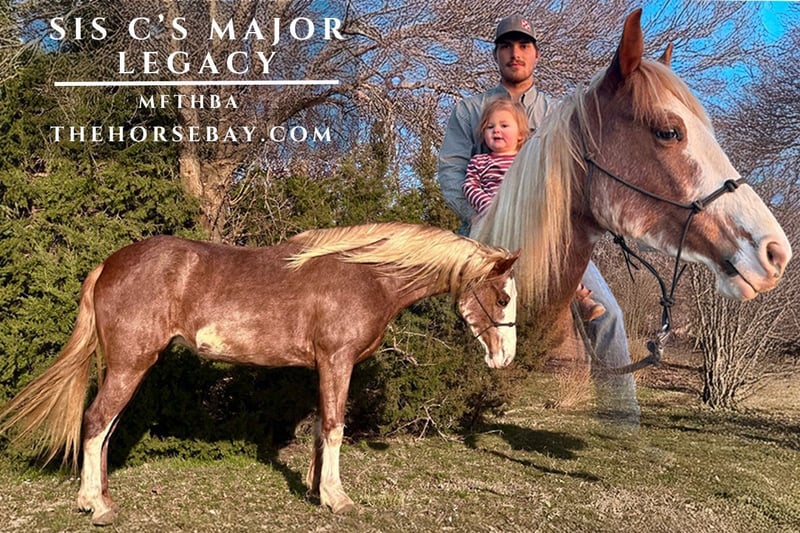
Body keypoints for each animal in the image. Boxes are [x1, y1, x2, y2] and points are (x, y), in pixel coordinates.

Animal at [0, 222, 519, 525]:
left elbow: (320, 428)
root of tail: (109, 264)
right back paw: (97, 506)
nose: (504, 360)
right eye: (503, 297)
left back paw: (101, 498)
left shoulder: (324, 366)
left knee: (105, 430)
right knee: (94, 423)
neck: (368, 275)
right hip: (132, 363)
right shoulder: (337, 360)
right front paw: (338, 499)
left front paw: (316, 491)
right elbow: (335, 427)